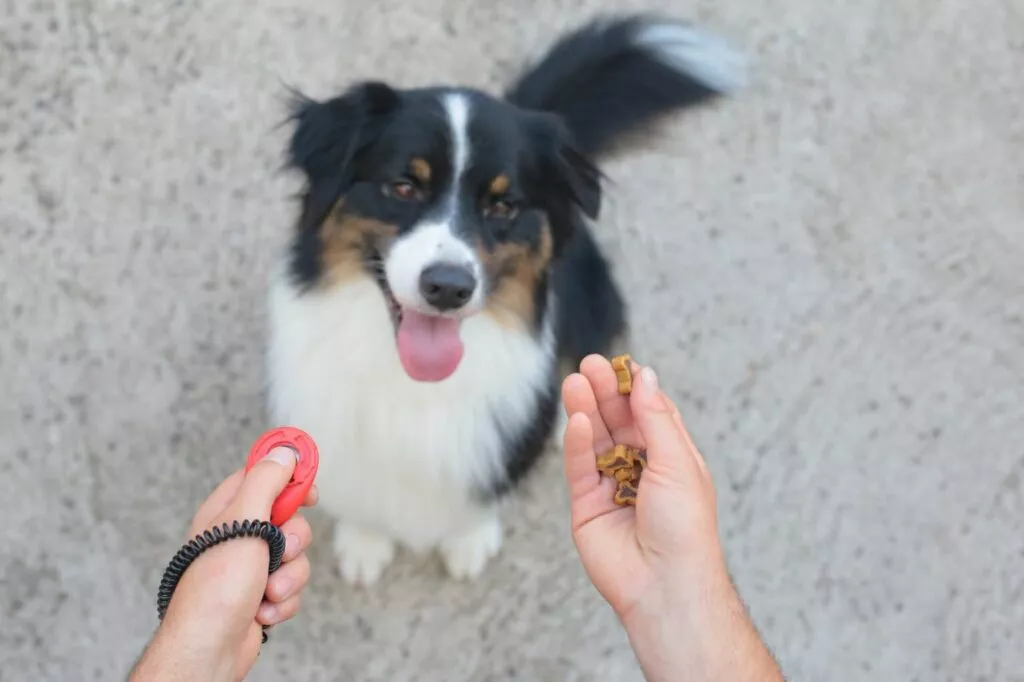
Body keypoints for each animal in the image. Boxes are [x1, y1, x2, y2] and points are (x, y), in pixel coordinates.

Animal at [264, 11, 745, 585]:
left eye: (502, 204)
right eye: (403, 187)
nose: (448, 287)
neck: (413, 383)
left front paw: (469, 539)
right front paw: (365, 541)